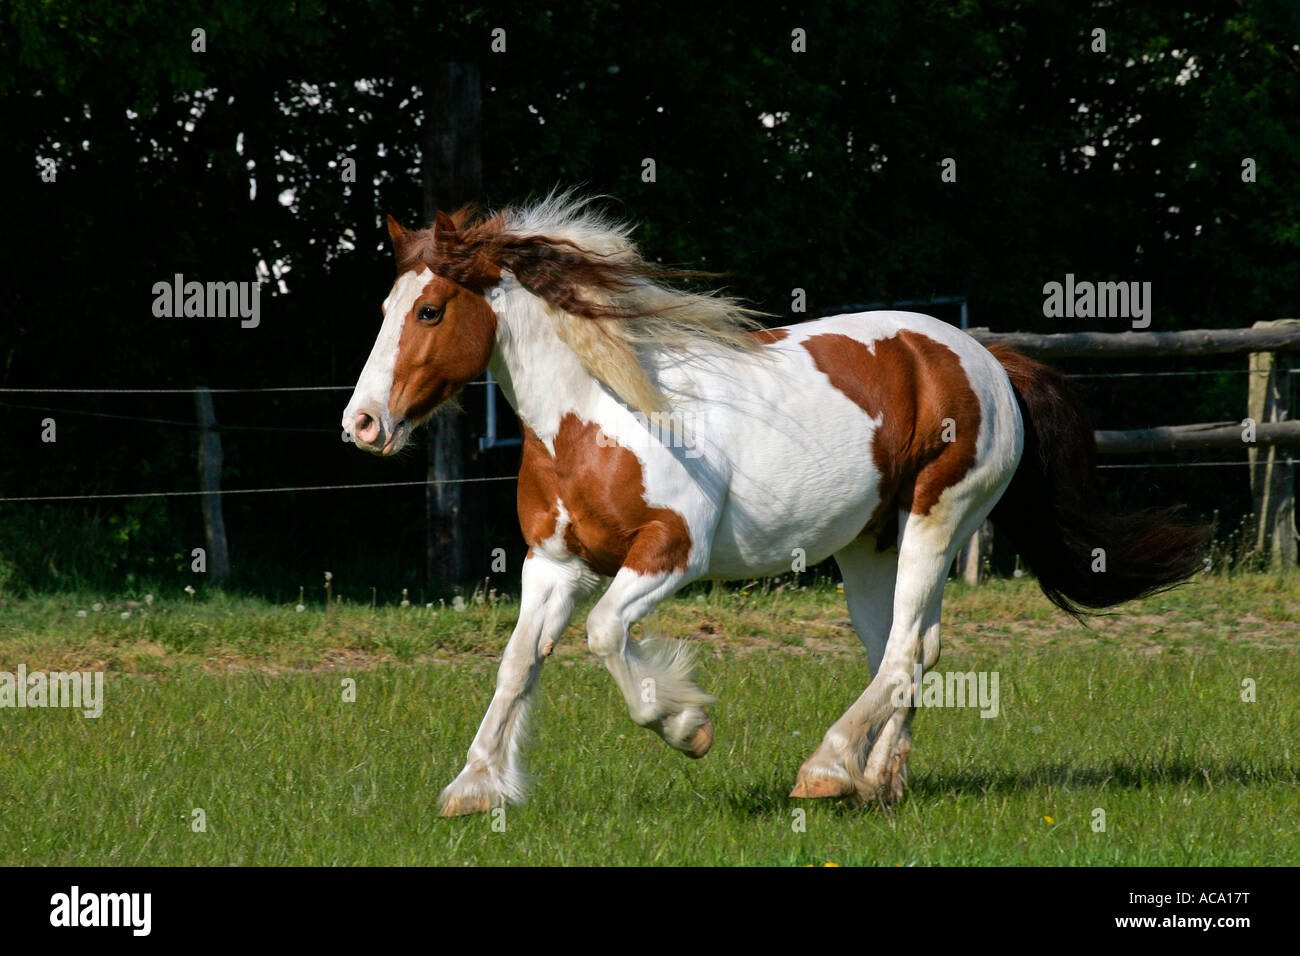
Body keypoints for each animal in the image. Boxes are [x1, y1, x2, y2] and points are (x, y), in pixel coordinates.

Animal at [342, 191, 1207, 816]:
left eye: (429, 310)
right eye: (381, 310)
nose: (362, 423)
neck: (598, 413)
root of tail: (986, 358)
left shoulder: (668, 553)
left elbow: (604, 633)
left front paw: (687, 727)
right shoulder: (553, 564)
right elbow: (519, 661)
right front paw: (474, 788)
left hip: (937, 517)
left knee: (903, 652)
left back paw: (825, 770)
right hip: (870, 546)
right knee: (908, 651)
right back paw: (876, 781)